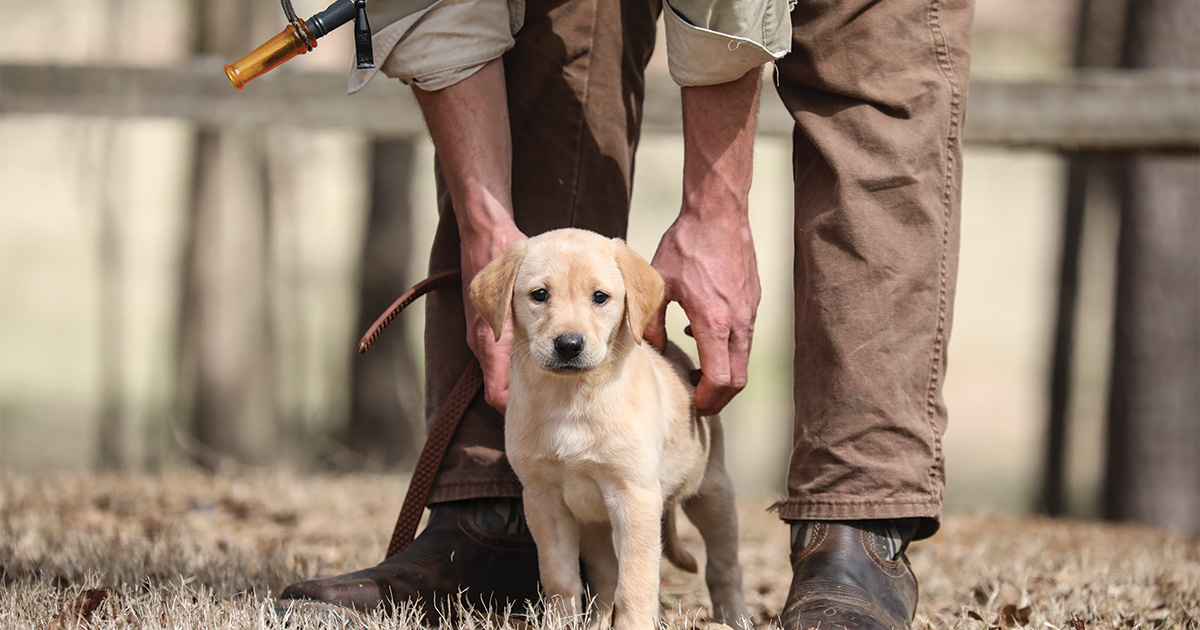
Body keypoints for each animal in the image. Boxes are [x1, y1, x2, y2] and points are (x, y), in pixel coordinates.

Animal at [470, 228, 744, 628]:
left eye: (600, 297)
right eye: (540, 294)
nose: (569, 345)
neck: (571, 398)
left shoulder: (635, 497)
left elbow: (635, 583)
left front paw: (635, 624)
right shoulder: (544, 500)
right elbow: (560, 578)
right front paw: (561, 623)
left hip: (712, 492)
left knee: (725, 566)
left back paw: (734, 616)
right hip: (594, 523)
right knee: (605, 574)